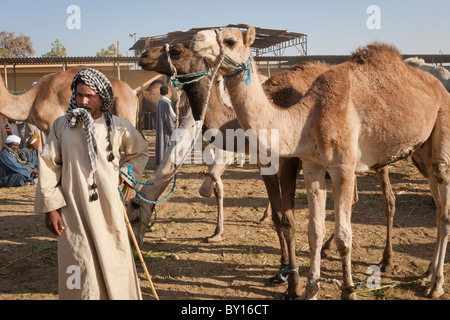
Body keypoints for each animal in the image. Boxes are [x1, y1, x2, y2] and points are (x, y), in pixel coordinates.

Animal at [192, 27, 450, 300]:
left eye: (230, 41)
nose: (196, 39)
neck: (306, 119)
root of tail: (439, 87)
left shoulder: (342, 167)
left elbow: (344, 236)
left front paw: (348, 291)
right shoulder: (312, 165)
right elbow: (315, 231)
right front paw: (310, 290)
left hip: (443, 124)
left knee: (443, 206)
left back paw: (435, 284)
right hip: (422, 151)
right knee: (436, 200)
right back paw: (427, 273)